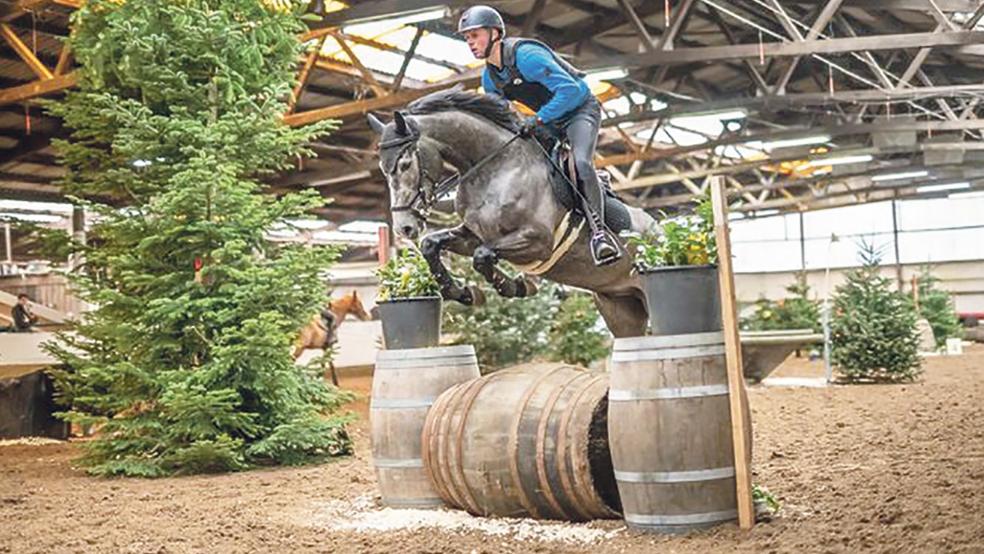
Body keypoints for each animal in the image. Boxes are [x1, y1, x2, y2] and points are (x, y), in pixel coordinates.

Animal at [368, 89, 660, 336]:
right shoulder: (474, 235)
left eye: (405, 164)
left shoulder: (538, 241)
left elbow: (482, 256)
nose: (404, 227)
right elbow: (432, 244)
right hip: (619, 308)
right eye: (382, 169)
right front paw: (463, 292)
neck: (496, 169)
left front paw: (515, 286)